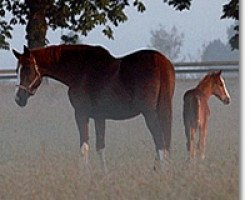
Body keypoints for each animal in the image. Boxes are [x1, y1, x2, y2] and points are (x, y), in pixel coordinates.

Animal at [12, 44, 175, 170]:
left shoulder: (81, 114)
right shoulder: (99, 117)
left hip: (149, 113)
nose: (18, 98)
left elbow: (84, 147)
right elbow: (100, 147)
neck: (81, 70)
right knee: (164, 143)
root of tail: (161, 62)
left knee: (160, 143)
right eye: (17, 70)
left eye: (27, 69)